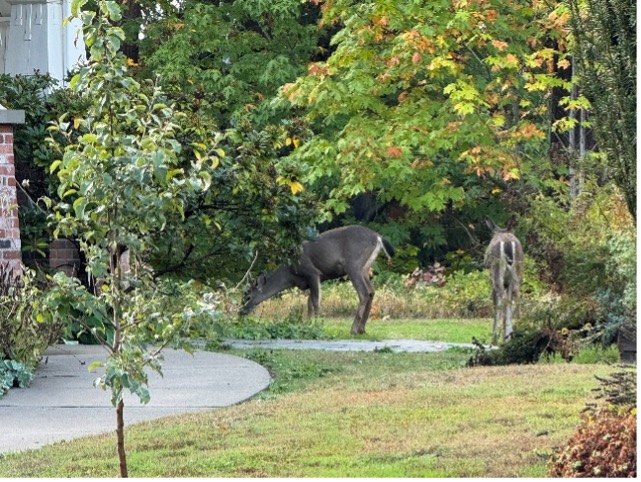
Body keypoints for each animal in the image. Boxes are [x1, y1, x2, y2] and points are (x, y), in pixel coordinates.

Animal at [240, 225, 394, 335]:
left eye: (248, 296)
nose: (240, 311)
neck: (290, 274)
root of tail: (378, 237)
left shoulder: (313, 273)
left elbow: (315, 301)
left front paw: (318, 324)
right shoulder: (311, 281)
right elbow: (309, 303)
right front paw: (308, 324)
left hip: (353, 264)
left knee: (363, 293)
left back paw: (354, 329)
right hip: (365, 268)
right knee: (371, 291)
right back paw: (362, 329)